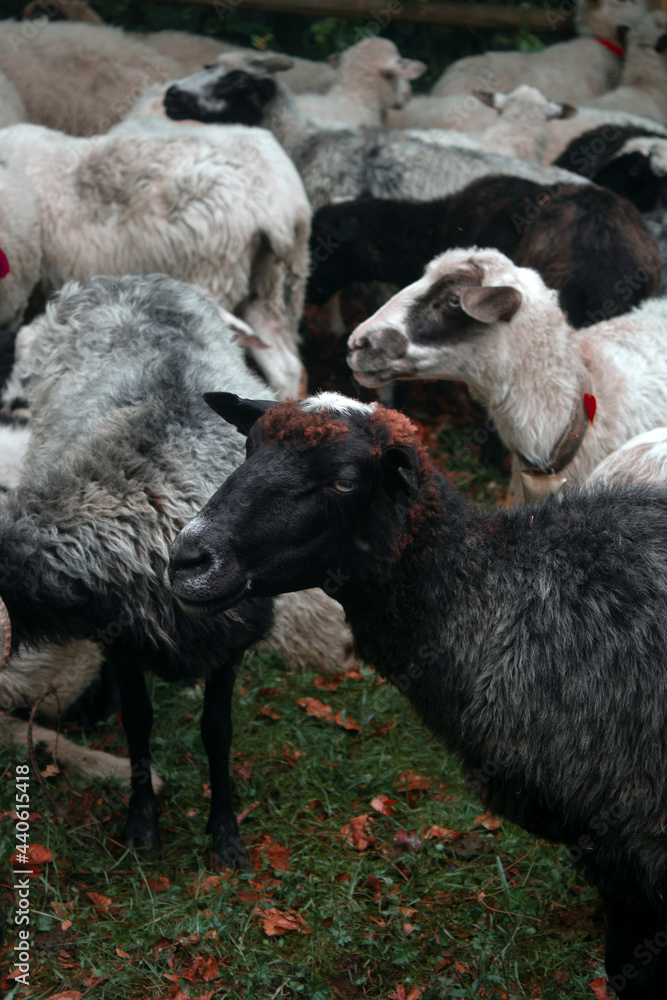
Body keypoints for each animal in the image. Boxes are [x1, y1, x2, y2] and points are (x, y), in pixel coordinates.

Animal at [0, 273, 355, 867]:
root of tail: (127, 275)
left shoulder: (232, 637)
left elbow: (218, 731)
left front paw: (225, 834)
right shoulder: (121, 638)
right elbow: (138, 723)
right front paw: (142, 823)